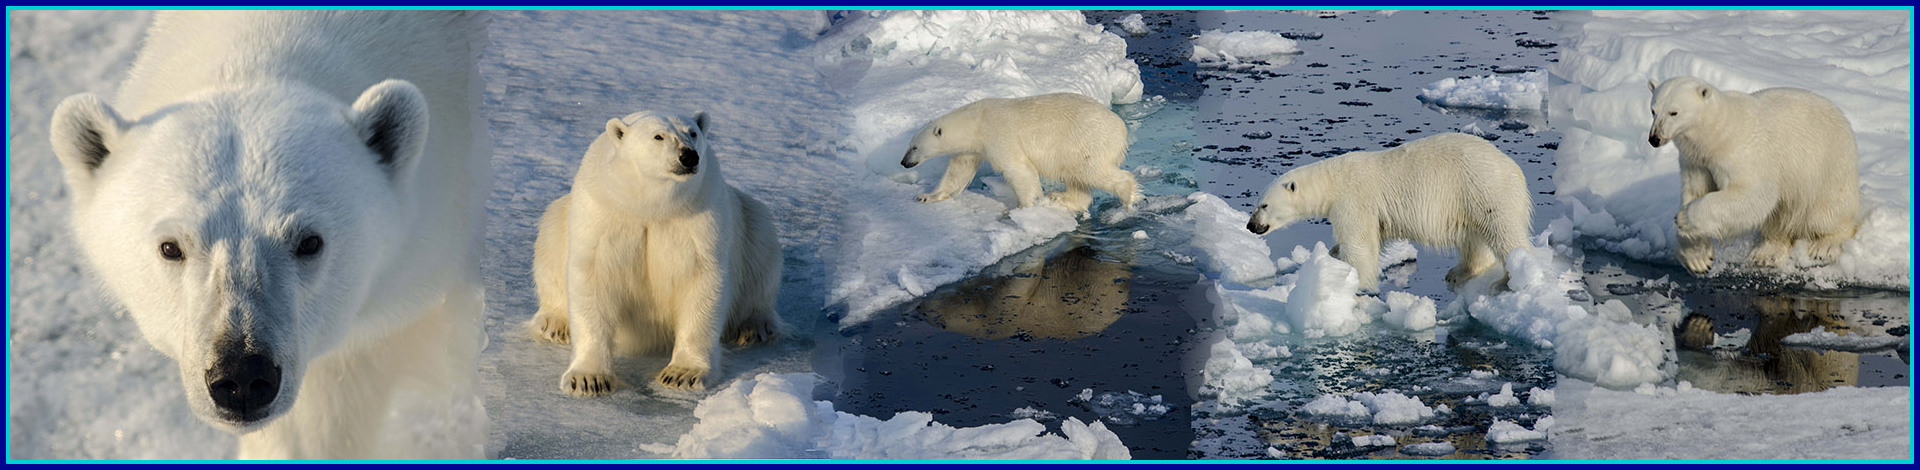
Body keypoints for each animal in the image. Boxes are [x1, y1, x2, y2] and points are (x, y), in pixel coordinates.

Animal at [529, 112, 783, 395]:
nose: (688, 156)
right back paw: (555, 324)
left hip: (749, 222)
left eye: (692, 133)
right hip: (558, 219)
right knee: (550, 237)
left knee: (762, 248)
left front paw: (682, 374)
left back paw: (753, 327)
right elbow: (593, 277)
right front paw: (588, 378)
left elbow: (701, 280)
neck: (649, 205)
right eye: (658, 136)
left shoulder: (701, 216)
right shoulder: (601, 213)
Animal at [898, 92, 1136, 212]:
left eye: (914, 147)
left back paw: (1127, 197)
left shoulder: (998, 134)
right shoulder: (972, 148)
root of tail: (1121, 128)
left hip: (1085, 140)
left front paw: (1024, 207)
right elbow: (958, 171)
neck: (976, 121)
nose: (903, 162)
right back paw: (1061, 198)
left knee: (1090, 170)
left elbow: (1017, 168)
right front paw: (926, 196)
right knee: (1076, 178)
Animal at [1244, 132, 1528, 291]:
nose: (1250, 225)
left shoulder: (1354, 199)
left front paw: (1358, 284)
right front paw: (1333, 255)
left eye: (1264, 205)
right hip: (1469, 200)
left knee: (1505, 234)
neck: (1332, 180)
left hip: (1483, 187)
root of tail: (1515, 168)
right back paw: (1458, 273)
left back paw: (1506, 281)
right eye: (1256, 203)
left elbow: (1359, 244)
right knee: (1474, 238)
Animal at [1651, 76, 1858, 276]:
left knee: (1824, 211)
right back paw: (1767, 252)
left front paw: (1683, 218)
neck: (1715, 135)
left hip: (1827, 167)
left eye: (1673, 112)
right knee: (1779, 215)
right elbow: (1694, 191)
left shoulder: (1742, 153)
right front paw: (1698, 259)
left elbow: (1753, 193)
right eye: (1653, 110)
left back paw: (1824, 245)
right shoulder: (1695, 161)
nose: (1654, 138)